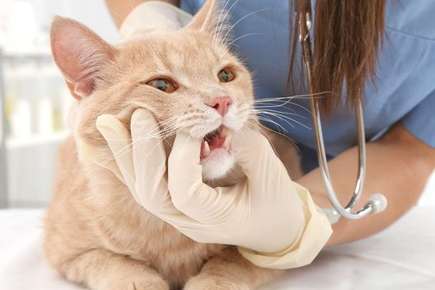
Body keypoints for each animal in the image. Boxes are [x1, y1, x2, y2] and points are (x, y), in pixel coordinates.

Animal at [43, 1, 304, 288]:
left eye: (225, 75)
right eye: (161, 84)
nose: (223, 101)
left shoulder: (273, 248)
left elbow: (233, 260)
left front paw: (213, 280)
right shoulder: (65, 251)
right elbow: (110, 261)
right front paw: (138, 280)